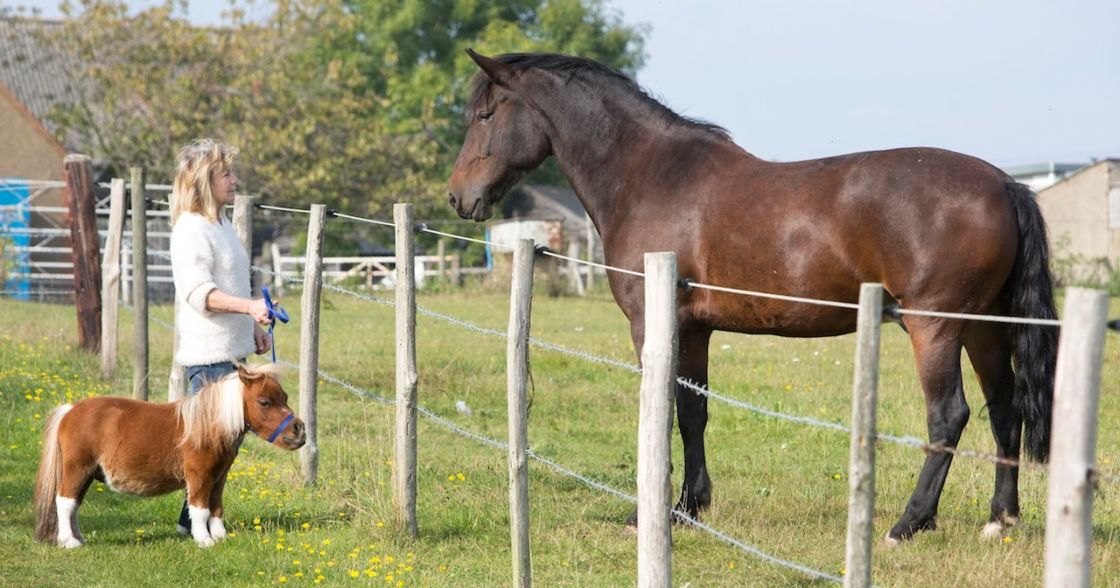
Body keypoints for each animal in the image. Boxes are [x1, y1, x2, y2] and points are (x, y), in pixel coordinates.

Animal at [33, 363, 306, 548]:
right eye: (264, 402)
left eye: (284, 397)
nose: (299, 430)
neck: (207, 426)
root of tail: (69, 410)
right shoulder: (199, 476)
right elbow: (200, 509)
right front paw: (204, 540)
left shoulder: (219, 477)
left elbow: (216, 506)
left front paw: (220, 536)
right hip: (77, 468)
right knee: (65, 502)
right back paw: (69, 541)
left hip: (88, 473)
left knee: (74, 504)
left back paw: (79, 537)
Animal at [447, 50, 1058, 544]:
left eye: (485, 115)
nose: (458, 196)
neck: (652, 176)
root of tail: (1005, 184)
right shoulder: (694, 328)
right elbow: (692, 411)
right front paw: (688, 508)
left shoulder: (653, 323)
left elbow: (663, 411)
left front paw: (651, 514)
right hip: (982, 327)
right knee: (1004, 409)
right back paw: (999, 518)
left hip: (934, 327)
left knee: (949, 417)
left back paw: (908, 523)